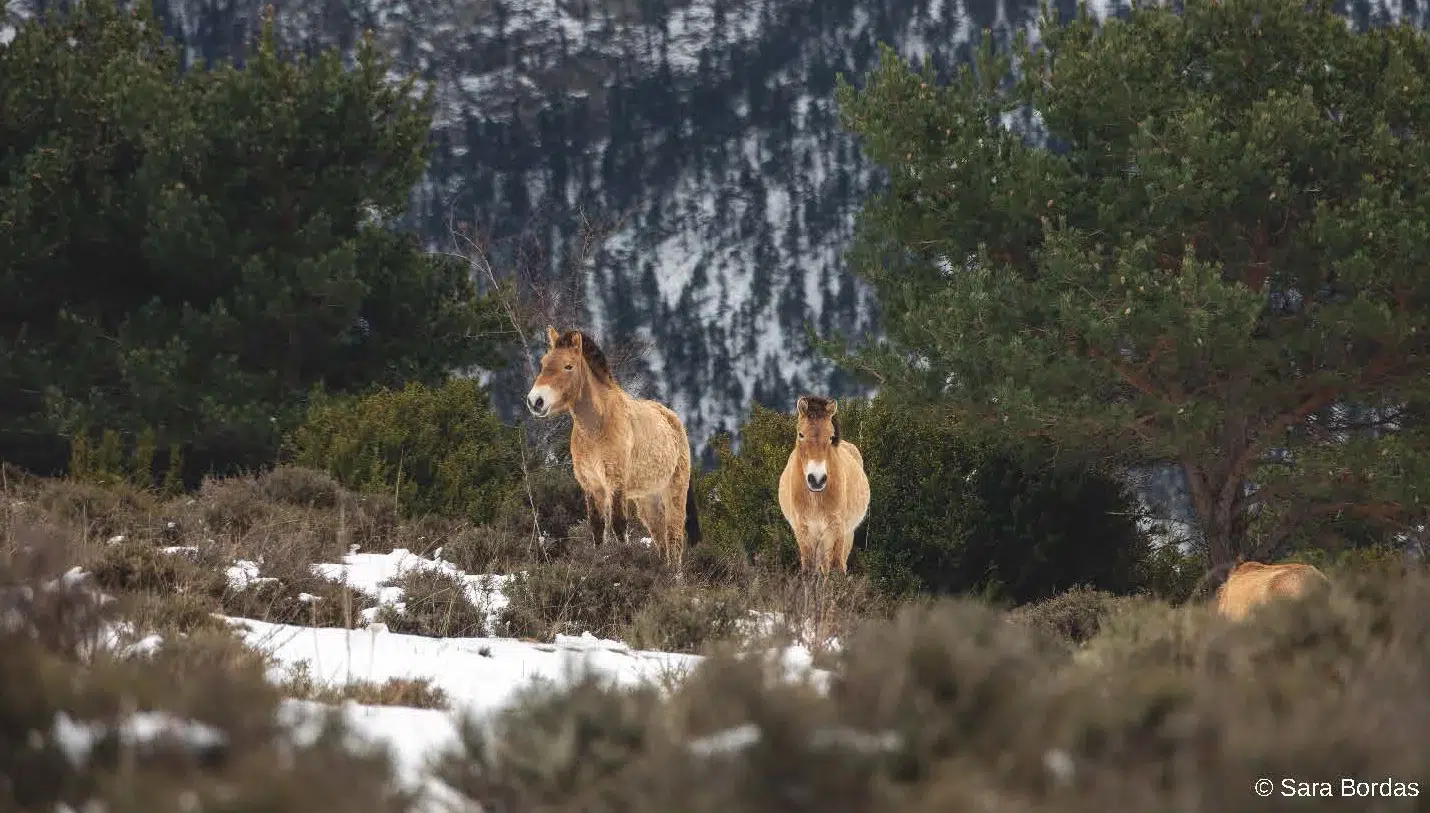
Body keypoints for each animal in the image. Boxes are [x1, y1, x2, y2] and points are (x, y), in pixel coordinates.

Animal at [524, 326, 700, 570]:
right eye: (543, 363)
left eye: (568, 366)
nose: (535, 401)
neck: (597, 427)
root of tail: (672, 418)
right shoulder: (592, 486)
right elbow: (598, 528)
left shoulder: (615, 483)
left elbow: (618, 526)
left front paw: (624, 562)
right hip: (647, 499)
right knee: (661, 539)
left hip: (674, 490)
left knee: (674, 538)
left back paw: (675, 576)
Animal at [778, 395, 870, 575]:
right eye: (800, 434)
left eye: (831, 436)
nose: (817, 479)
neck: (815, 498)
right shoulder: (804, 531)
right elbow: (809, 570)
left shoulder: (837, 530)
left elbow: (836, 569)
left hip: (844, 535)